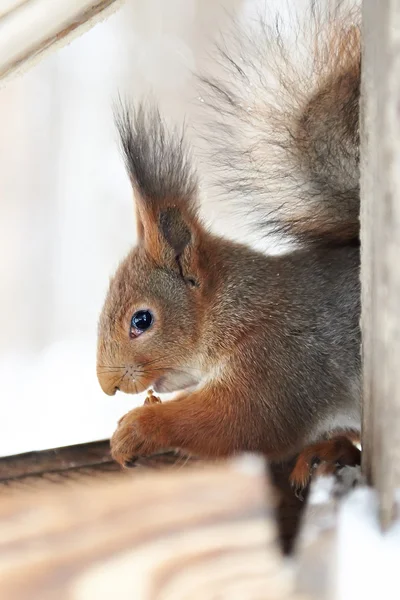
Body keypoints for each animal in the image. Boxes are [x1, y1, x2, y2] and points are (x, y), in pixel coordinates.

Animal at [96, 2, 362, 488]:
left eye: (141, 320)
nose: (108, 386)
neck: (239, 306)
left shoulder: (281, 359)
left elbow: (241, 422)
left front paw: (139, 429)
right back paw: (327, 452)